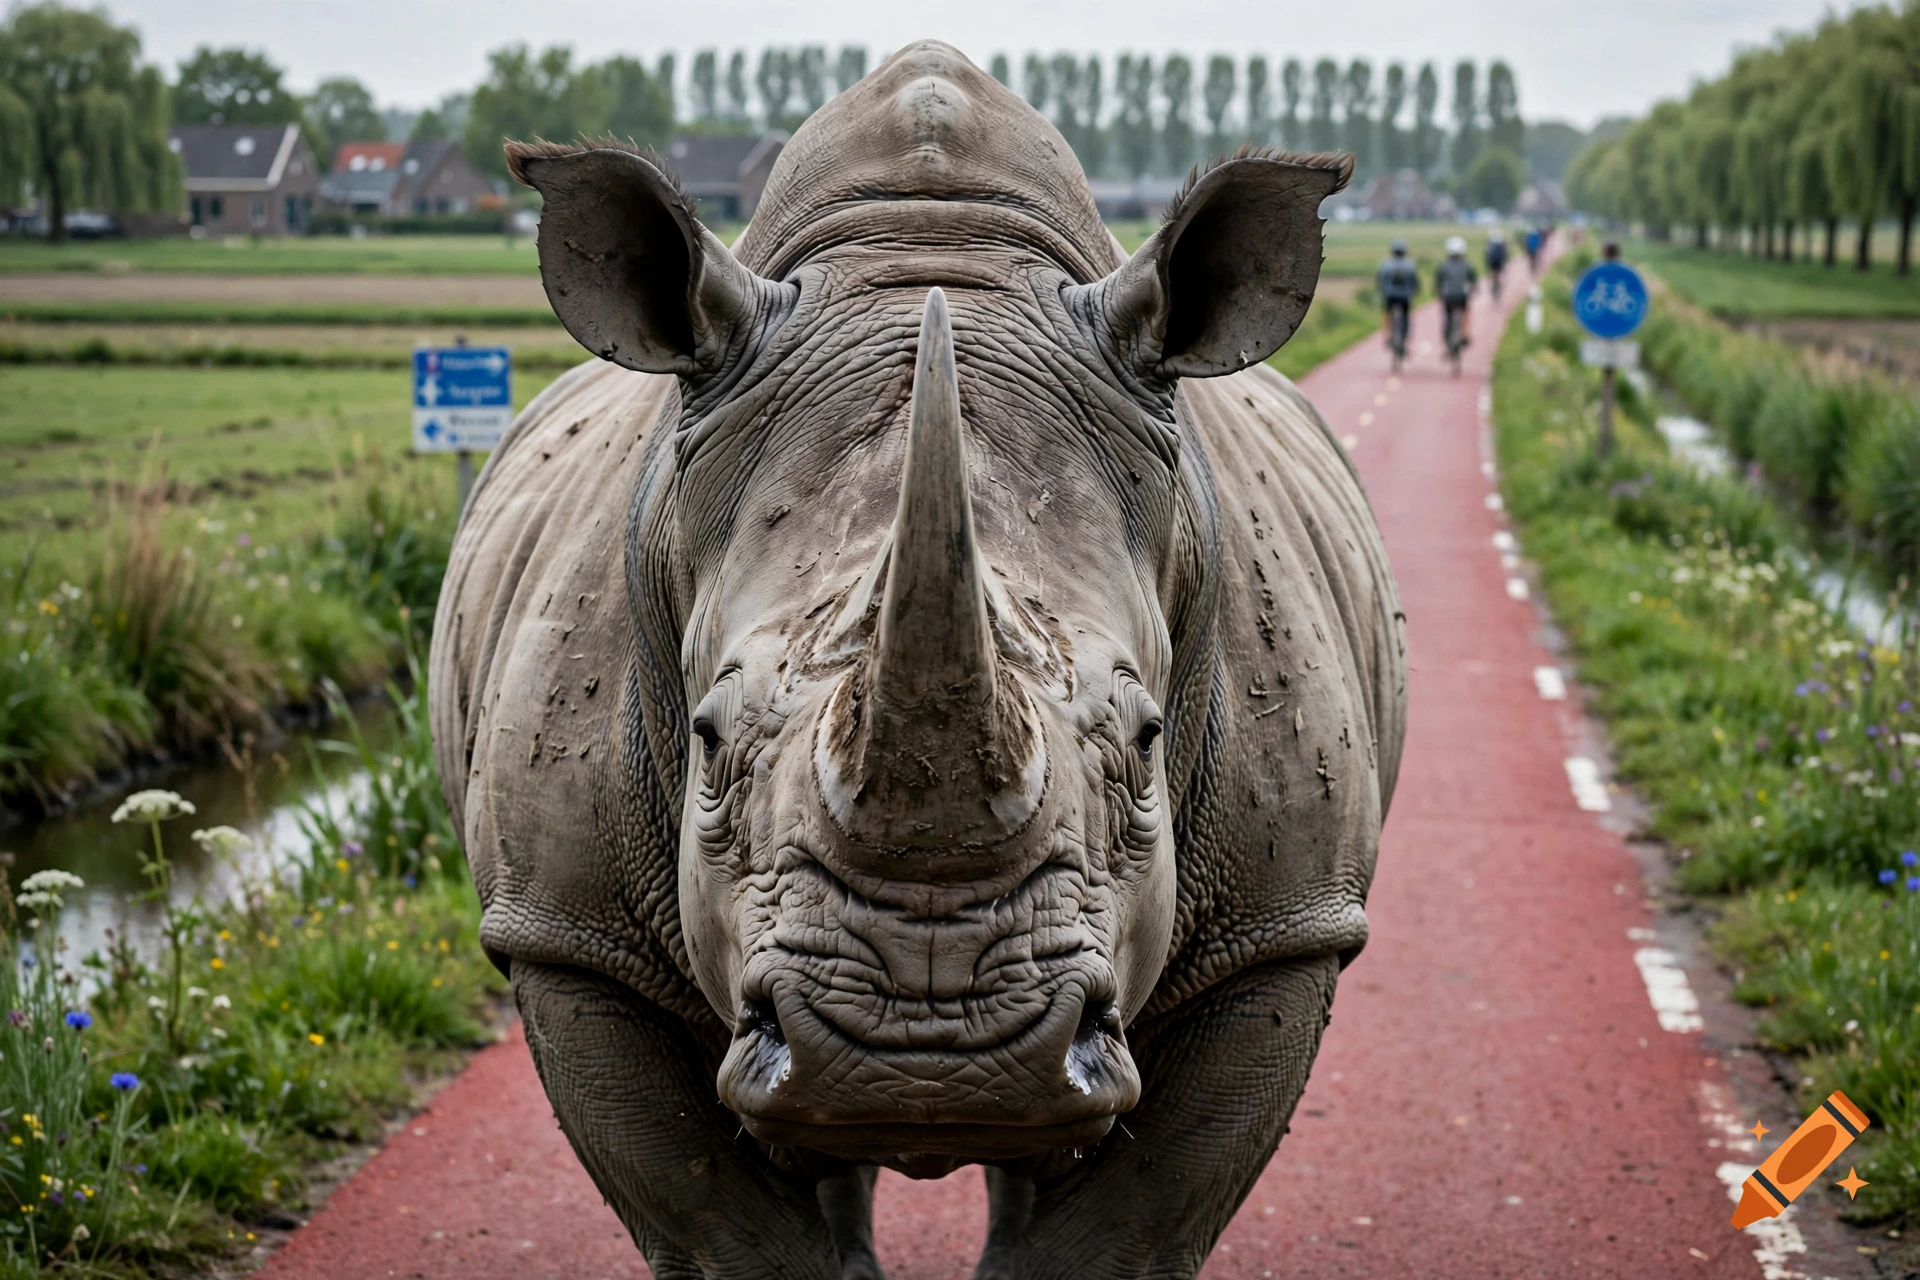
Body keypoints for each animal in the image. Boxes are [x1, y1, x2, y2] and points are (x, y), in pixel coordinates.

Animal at [430, 41, 1405, 1280]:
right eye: (707, 740)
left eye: (1146, 741)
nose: (927, 1047)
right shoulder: (568, 936)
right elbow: (726, 1228)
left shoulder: (1284, 931)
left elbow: (1120, 1232)